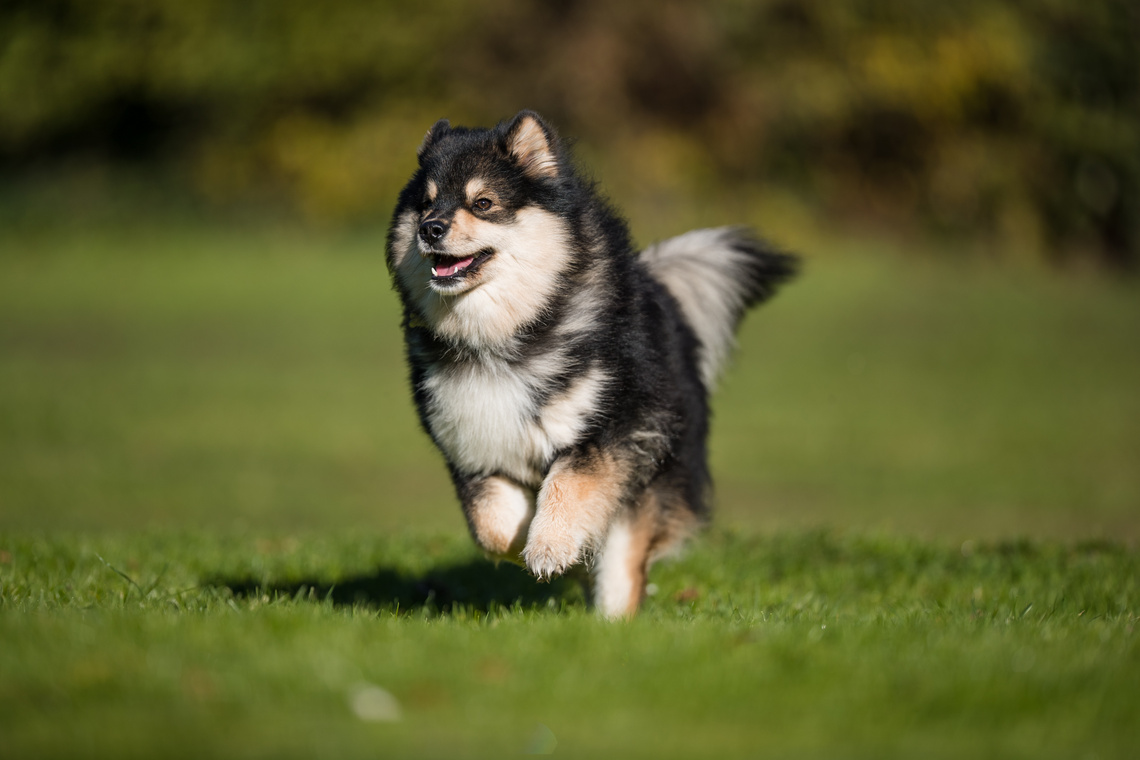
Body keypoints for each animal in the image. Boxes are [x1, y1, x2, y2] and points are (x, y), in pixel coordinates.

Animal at [387, 108, 798, 619]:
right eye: (426, 205)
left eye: (482, 203)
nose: (430, 229)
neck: (507, 335)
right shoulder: (472, 446)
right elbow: (492, 528)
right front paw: (533, 539)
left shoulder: (613, 431)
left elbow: (566, 486)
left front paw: (549, 546)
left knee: (624, 569)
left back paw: (611, 622)